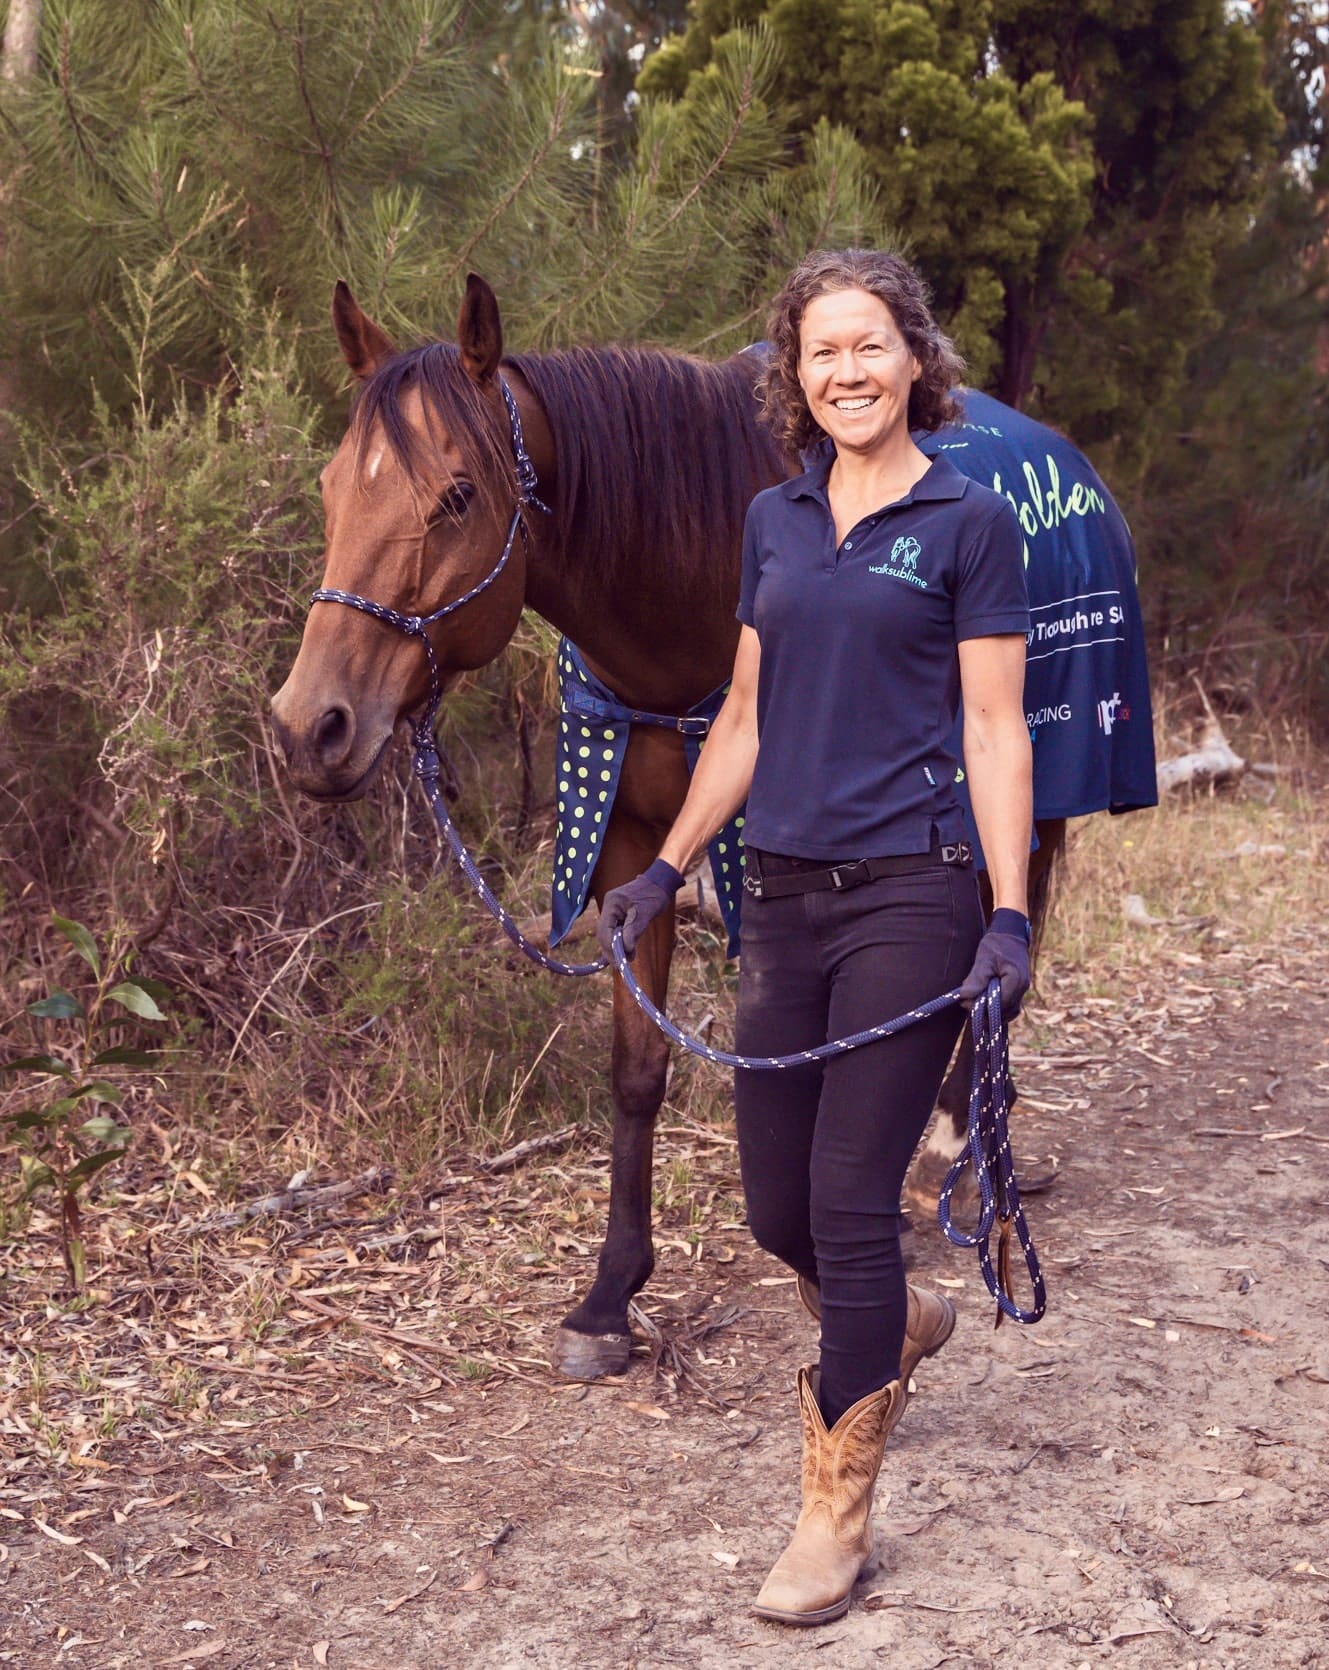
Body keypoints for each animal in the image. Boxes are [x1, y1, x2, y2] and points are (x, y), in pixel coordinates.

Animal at [275, 280, 1061, 1382]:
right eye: (332, 486)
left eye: (458, 495)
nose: (310, 726)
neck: (686, 594)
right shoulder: (633, 850)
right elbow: (638, 1071)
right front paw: (610, 1296)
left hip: (1035, 793)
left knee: (1003, 953)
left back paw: (954, 1146)